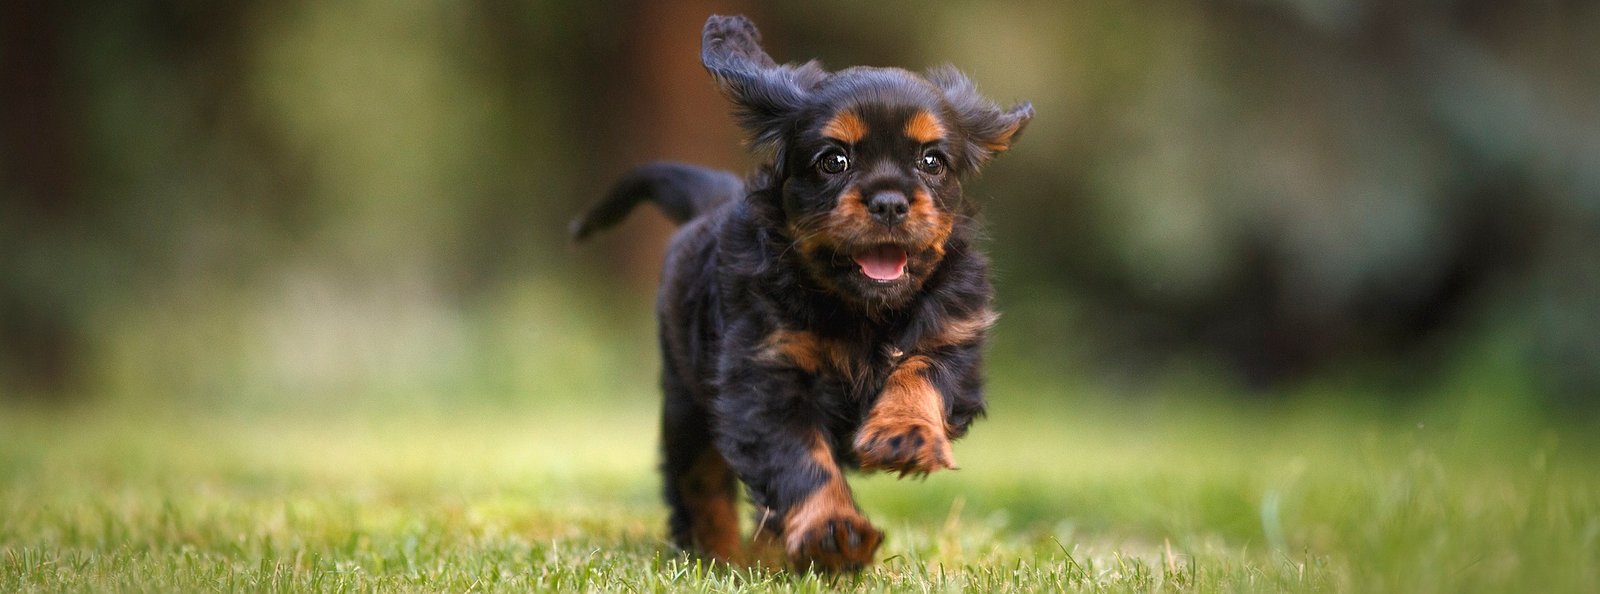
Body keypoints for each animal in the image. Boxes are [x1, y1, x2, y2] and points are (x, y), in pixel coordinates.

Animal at [569, 14, 1030, 573]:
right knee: (699, 484)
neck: (862, 311)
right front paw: (834, 532)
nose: (890, 202)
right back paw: (721, 556)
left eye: (932, 161)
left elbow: (920, 372)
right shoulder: (765, 379)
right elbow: (801, 462)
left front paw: (904, 434)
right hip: (686, 405)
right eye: (834, 161)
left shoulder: (955, 339)